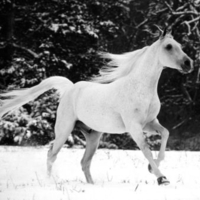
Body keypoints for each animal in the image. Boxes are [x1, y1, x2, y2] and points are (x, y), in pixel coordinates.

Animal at [0, 27, 194, 184]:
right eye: (168, 46)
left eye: (179, 45)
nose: (188, 63)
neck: (139, 88)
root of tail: (70, 88)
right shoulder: (134, 127)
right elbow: (146, 150)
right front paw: (162, 178)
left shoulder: (149, 123)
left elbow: (165, 134)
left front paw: (151, 168)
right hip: (64, 130)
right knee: (51, 154)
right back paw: (50, 182)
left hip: (93, 136)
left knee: (84, 162)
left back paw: (92, 185)